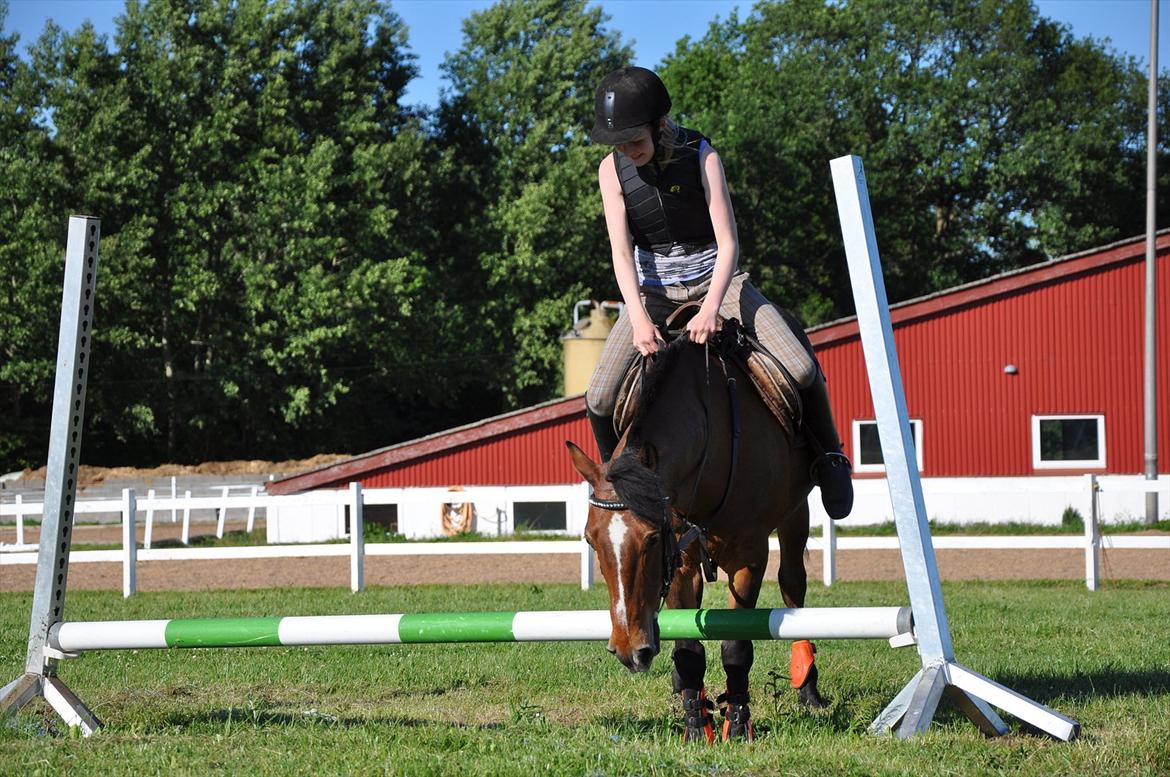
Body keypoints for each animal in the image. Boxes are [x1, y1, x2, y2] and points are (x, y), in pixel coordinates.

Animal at [566, 332, 823, 739]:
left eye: (652, 539)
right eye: (591, 541)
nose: (628, 650)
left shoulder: (749, 557)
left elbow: (736, 646)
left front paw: (738, 725)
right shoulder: (680, 562)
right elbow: (688, 646)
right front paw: (696, 725)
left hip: (795, 514)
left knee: (793, 584)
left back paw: (807, 686)